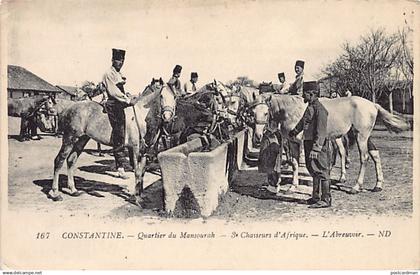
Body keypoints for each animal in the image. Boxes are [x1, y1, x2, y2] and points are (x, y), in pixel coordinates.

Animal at [46, 82, 175, 205]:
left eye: (174, 97)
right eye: (161, 96)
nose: (167, 117)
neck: (140, 117)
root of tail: (69, 107)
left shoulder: (145, 150)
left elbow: (142, 171)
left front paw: (141, 194)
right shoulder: (135, 148)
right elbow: (138, 172)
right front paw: (137, 198)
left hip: (82, 139)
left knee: (71, 160)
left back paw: (73, 190)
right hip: (70, 138)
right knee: (59, 160)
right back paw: (55, 193)